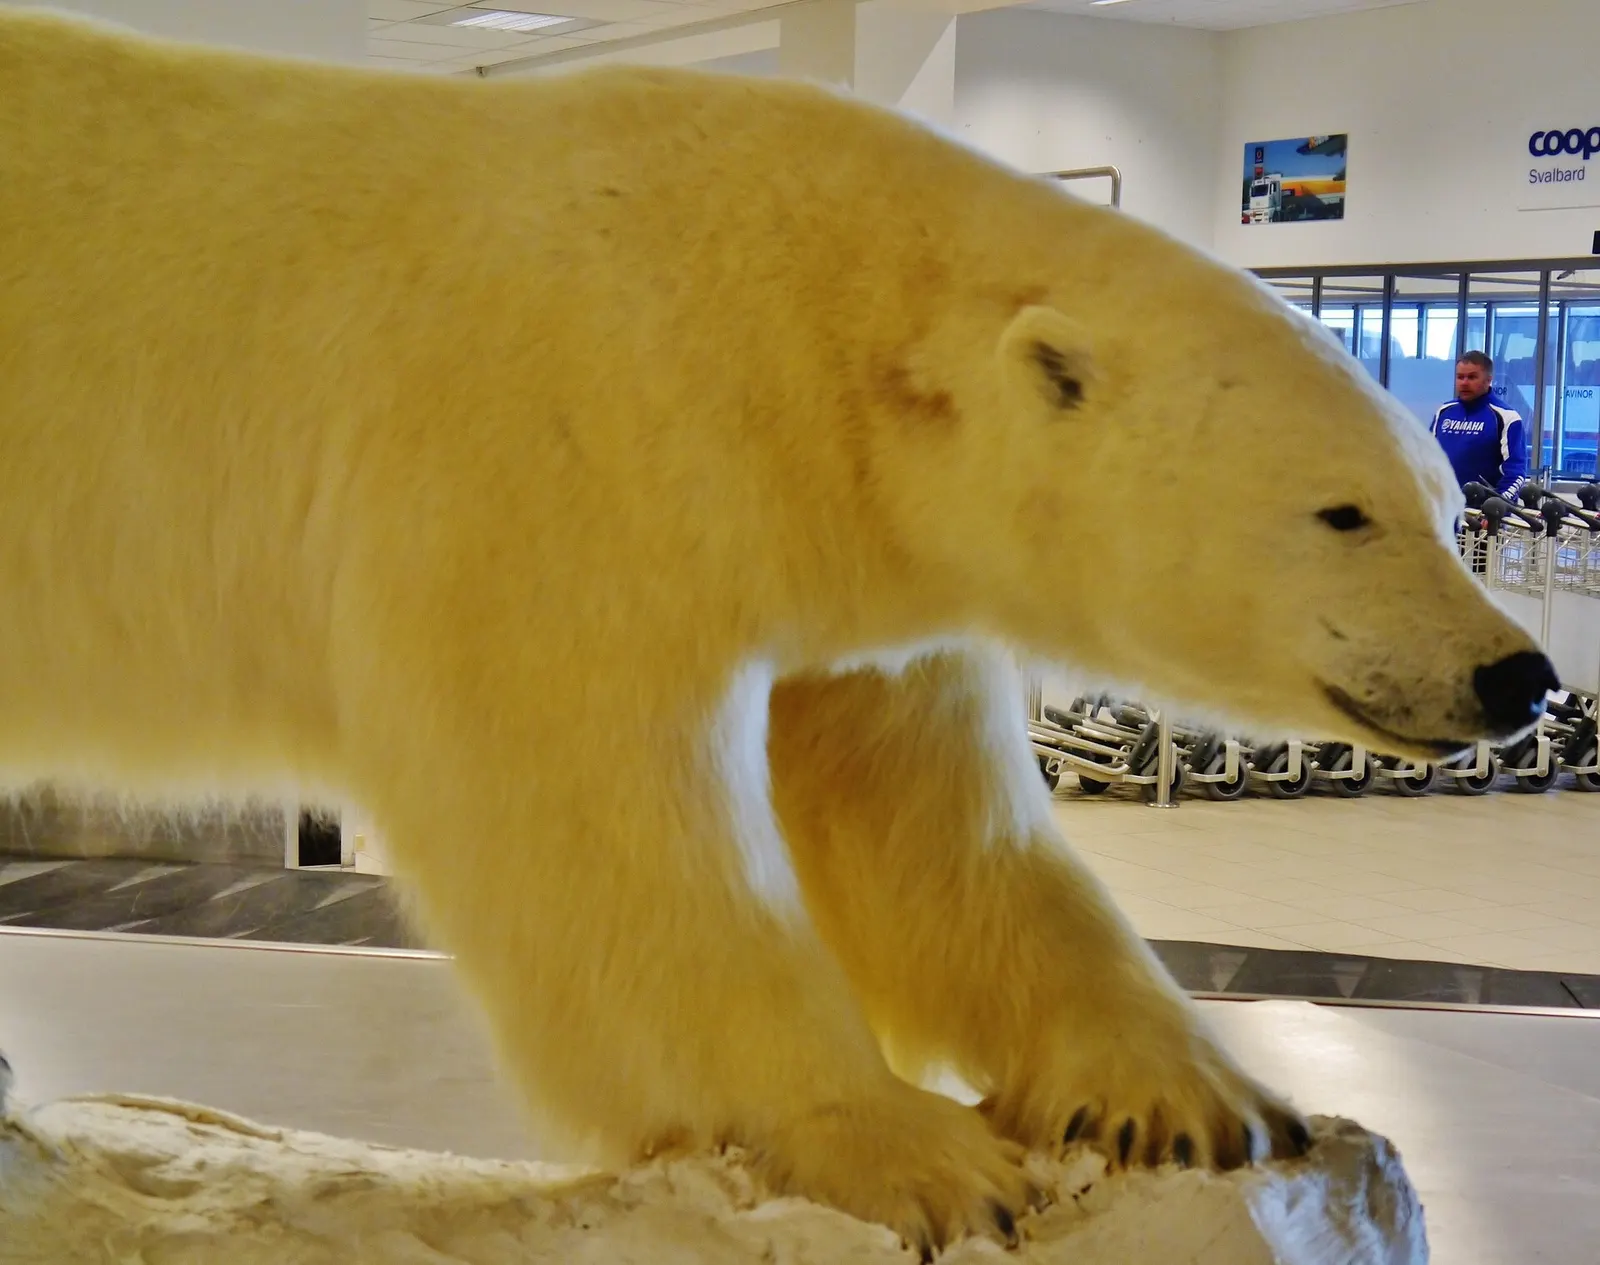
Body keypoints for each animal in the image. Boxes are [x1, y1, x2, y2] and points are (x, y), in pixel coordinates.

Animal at [0, 9, 1555, 1256]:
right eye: (1342, 510)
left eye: (1436, 493)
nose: (1518, 675)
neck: (765, 304)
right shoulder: (548, 449)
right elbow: (605, 828)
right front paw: (914, 1151)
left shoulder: (867, 577)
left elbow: (934, 832)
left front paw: (1193, 1095)